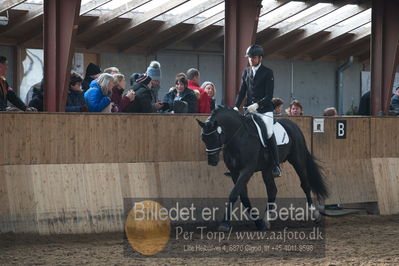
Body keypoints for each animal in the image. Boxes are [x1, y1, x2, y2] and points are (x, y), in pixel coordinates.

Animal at [197, 106, 328, 231]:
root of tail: (293, 125)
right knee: (272, 190)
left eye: (215, 136)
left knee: (305, 184)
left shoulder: (247, 170)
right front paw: (259, 223)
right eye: (203, 138)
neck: (238, 137)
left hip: (297, 160)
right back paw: (266, 220)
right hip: (267, 169)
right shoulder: (235, 172)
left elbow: (233, 194)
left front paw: (224, 223)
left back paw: (315, 214)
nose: (212, 161)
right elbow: (243, 197)